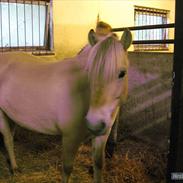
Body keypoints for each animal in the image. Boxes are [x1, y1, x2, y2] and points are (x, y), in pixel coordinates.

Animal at [0, 30, 132, 183]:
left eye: (122, 73)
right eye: (89, 72)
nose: (94, 123)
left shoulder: (102, 136)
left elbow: (99, 164)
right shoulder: (70, 137)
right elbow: (67, 168)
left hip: (11, 115)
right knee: (7, 139)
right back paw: (14, 168)